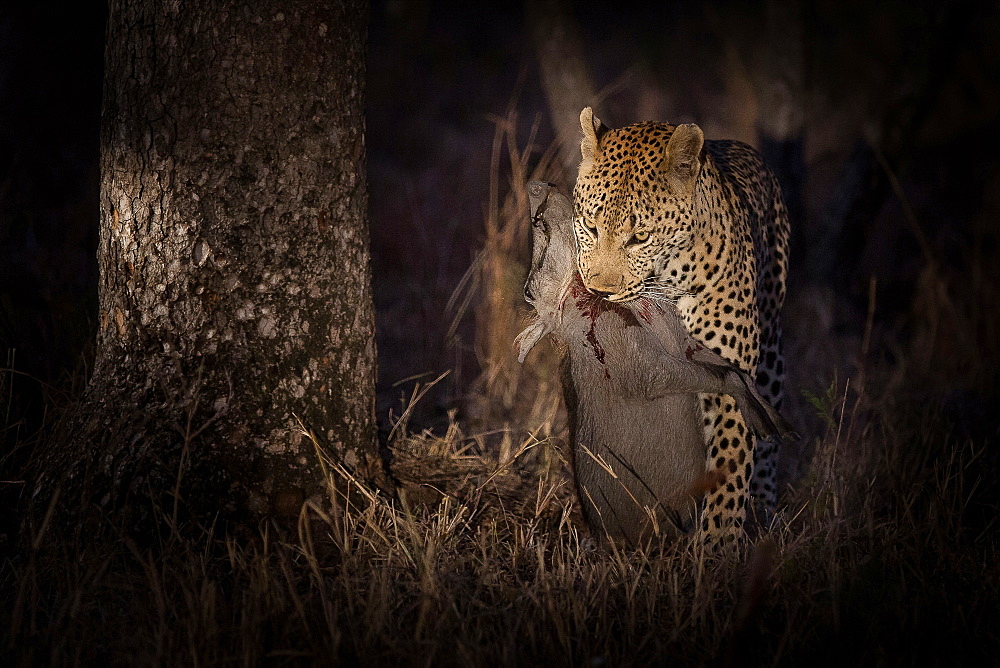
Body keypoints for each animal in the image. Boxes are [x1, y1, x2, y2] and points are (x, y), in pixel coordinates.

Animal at [576, 105, 792, 544]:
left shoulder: (731, 377)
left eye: (640, 237)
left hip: (771, 348)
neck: (667, 278)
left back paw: (762, 511)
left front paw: (718, 545)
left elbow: (730, 460)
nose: (600, 291)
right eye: (590, 227)